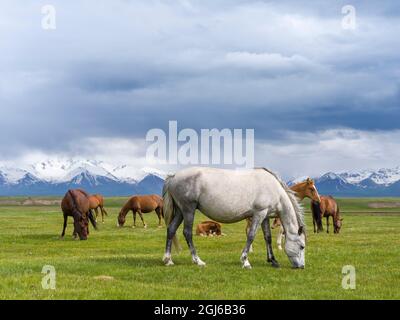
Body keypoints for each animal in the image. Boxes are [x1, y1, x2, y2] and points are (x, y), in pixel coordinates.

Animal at [162, 168, 306, 270]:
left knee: (171, 229)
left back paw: (168, 260)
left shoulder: (265, 216)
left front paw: (273, 260)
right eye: (302, 246)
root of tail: (173, 176)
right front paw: (245, 261)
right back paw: (198, 260)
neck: (274, 190)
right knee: (187, 233)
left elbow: (268, 238)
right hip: (188, 210)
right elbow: (251, 236)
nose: (301, 266)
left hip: (180, 211)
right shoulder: (259, 214)